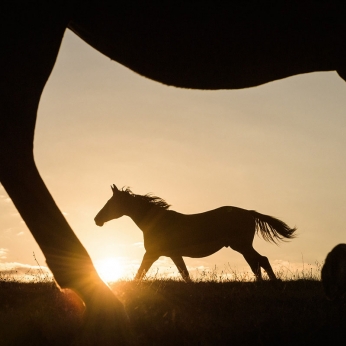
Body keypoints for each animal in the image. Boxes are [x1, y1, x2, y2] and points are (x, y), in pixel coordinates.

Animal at [95, 185, 298, 280]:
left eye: (111, 203)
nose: (97, 220)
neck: (156, 222)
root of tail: (249, 212)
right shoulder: (172, 255)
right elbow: (184, 275)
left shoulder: (153, 253)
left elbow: (140, 273)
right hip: (242, 246)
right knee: (256, 263)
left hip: (241, 245)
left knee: (261, 261)